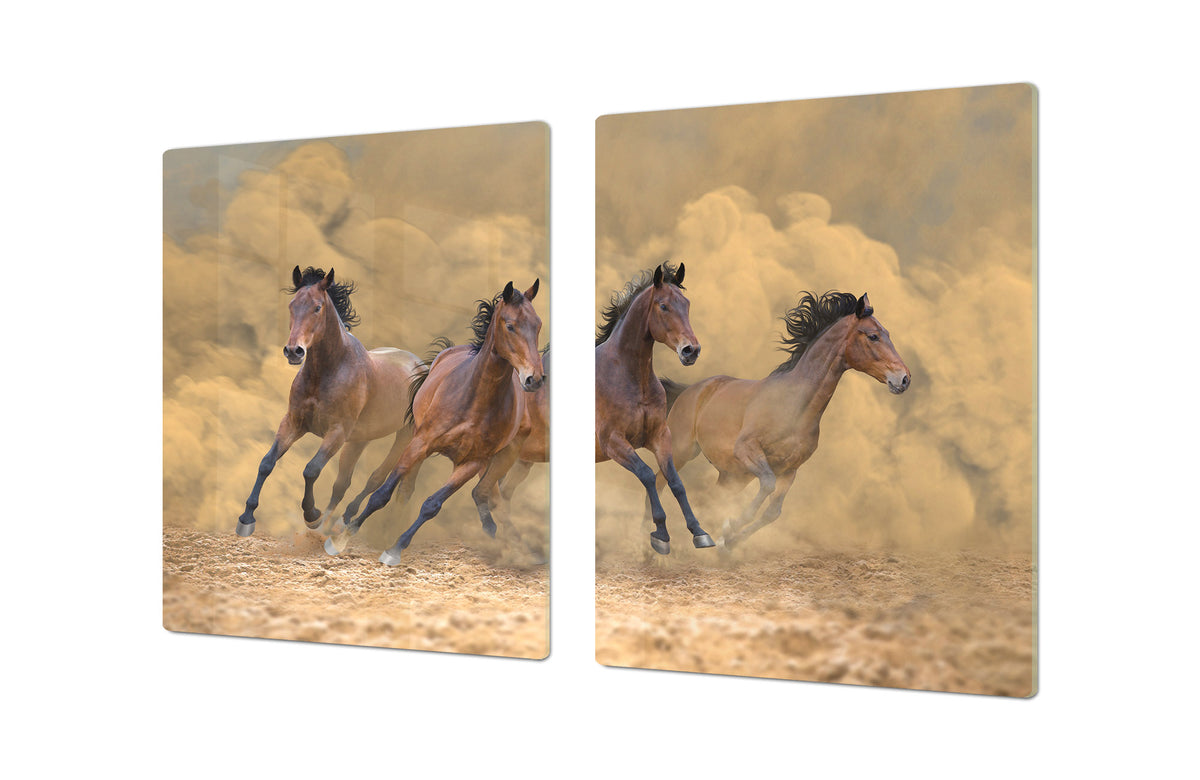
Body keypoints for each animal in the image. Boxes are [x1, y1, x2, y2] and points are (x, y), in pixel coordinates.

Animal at [236, 266, 424, 537]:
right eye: (292, 305)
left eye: (317, 307)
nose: (293, 351)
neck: (327, 372)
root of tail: (423, 364)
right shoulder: (293, 422)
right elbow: (267, 463)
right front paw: (247, 517)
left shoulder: (336, 432)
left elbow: (311, 469)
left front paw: (311, 515)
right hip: (360, 439)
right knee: (343, 483)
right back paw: (332, 522)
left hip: (404, 435)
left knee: (377, 478)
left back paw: (344, 520)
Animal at [326, 279, 545, 567]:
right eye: (510, 325)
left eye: (538, 325)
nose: (535, 379)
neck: (475, 400)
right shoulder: (421, 442)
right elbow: (382, 494)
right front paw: (342, 538)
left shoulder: (473, 463)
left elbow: (432, 505)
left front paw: (395, 548)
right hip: (417, 442)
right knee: (403, 487)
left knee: (476, 493)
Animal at [596, 262, 714, 555]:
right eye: (663, 306)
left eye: (687, 304)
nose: (691, 351)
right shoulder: (613, 442)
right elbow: (648, 475)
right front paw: (660, 533)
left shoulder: (659, 436)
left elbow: (674, 481)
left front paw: (699, 531)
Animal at [655, 291, 910, 551]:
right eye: (873, 336)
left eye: (887, 333)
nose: (904, 378)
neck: (794, 406)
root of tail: (692, 389)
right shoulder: (747, 450)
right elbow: (767, 485)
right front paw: (732, 526)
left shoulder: (790, 470)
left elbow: (773, 512)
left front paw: (730, 540)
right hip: (683, 451)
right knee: (659, 482)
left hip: (733, 475)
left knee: (714, 499)